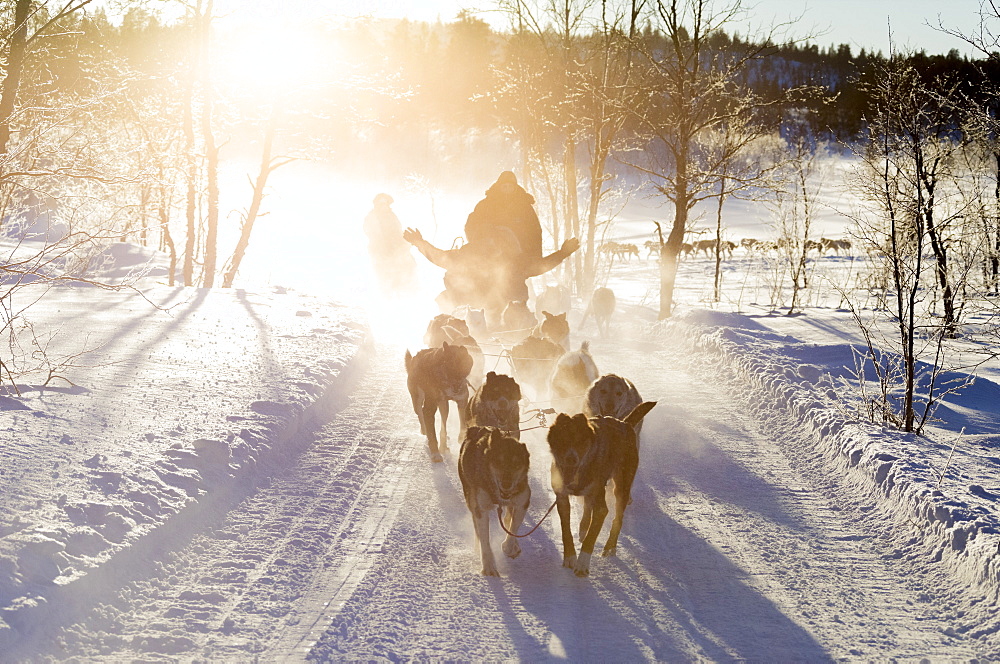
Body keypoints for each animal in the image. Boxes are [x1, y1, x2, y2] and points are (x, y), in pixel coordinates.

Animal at [458, 426, 532, 576]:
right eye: (498, 462)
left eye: (517, 465)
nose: (506, 484)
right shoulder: (480, 509)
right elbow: (485, 541)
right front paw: (488, 566)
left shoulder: (523, 502)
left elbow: (513, 528)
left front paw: (509, 546)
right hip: (471, 499)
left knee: (508, 518)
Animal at [548, 400, 656, 576]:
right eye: (563, 440)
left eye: (581, 442)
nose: (571, 459)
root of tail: (624, 423)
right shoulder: (562, 499)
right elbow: (566, 532)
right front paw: (570, 557)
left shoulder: (601, 507)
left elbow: (592, 537)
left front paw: (582, 564)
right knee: (587, 506)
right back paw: (584, 527)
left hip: (621, 488)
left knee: (617, 519)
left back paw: (610, 547)